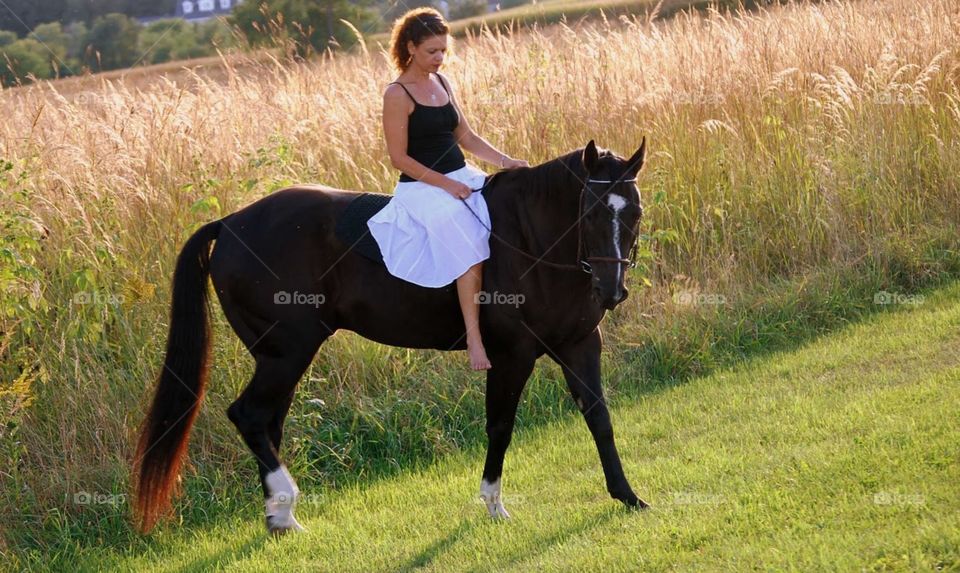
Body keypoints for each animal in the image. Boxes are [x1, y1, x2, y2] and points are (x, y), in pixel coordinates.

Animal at [132, 138, 649, 535]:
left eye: (636, 213)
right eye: (589, 213)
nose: (612, 290)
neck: (529, 240)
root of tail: (230, 224)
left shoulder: (580, 345)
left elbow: (599, 417)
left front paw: (628, 496)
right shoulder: (512, 355)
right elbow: (501, 426)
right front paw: (493, 504)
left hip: (277, 358)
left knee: (266, 422)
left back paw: (280, 518)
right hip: (287, 353)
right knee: (250, 416)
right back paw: (286, 507)